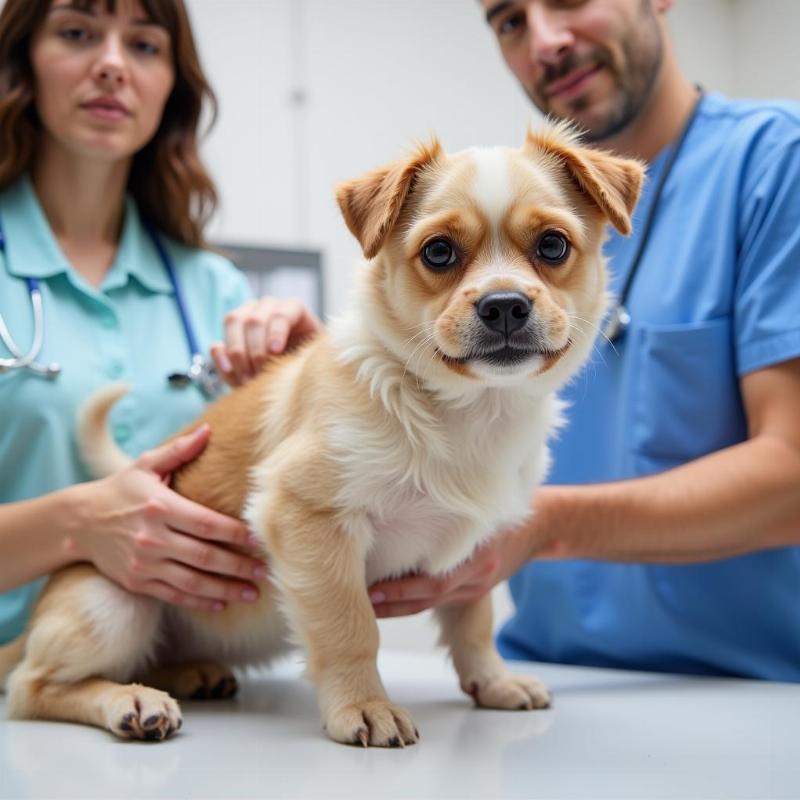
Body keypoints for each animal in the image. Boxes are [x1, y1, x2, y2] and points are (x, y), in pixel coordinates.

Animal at [0, 125, 636, 744]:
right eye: (439, 252)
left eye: (552, 245)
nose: (504, 305)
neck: (468, 410)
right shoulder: (308, 518)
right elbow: (349, 627)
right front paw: (363, 706)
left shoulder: (469, 559)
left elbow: (473, 622)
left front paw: (493, 681)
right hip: (111, 605)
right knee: (32, 689)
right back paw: (131, 702)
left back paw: (190, 673)